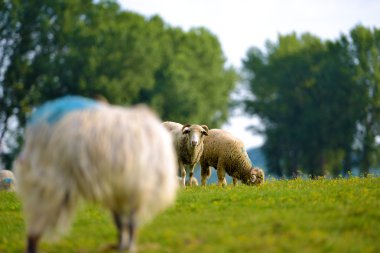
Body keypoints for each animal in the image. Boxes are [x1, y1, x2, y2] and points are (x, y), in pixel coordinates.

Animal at [14, 95, 178, 253]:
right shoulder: (130, 189)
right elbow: (125, 221)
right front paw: (125, 245)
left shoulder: (124, 189)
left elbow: (123, 221)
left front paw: (124, 245)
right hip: (49, 183)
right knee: (36, 224)